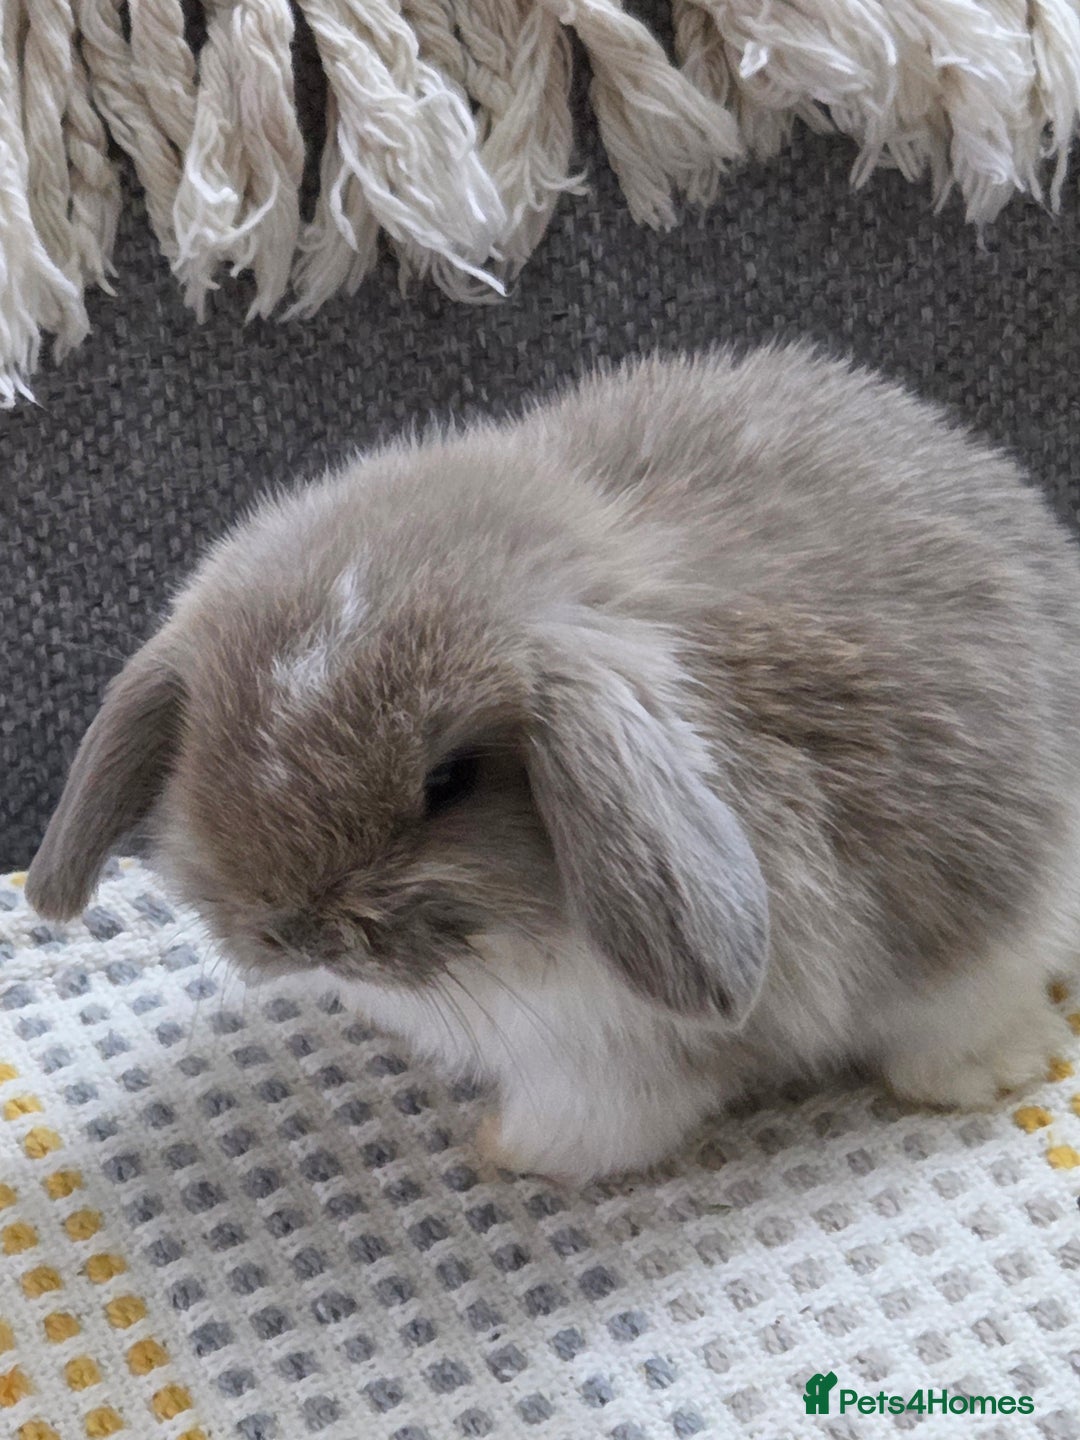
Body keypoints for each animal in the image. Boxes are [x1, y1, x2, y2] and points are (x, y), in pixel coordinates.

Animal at [26, 345, 1080, 1184]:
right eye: (206, 748)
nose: (296, 931)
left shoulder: (612, 1059)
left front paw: (505, 1150)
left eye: (448, 782)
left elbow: (595, 1123)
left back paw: (980, 1073)